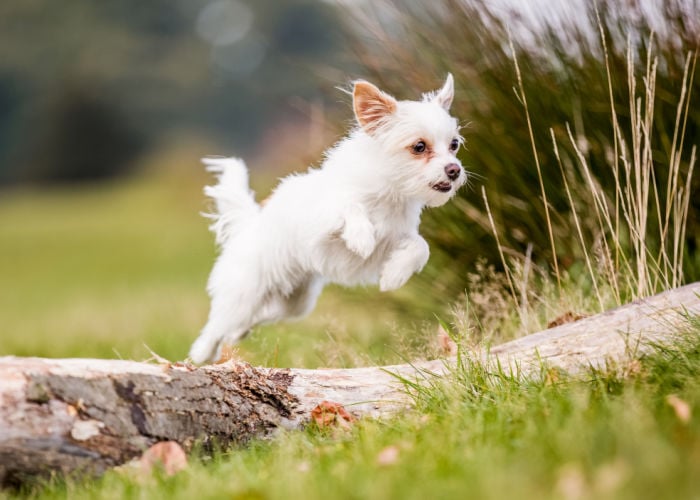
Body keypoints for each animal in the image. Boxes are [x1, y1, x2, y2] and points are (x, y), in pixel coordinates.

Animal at [189, 74, 468, 364]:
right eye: (419, 147)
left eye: (454, 145)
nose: (454, 170)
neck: (390, 194)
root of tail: (249, 225)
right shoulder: (320, 222)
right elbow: (348, 206)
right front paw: (361, 237)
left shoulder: (394, 240)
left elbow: (420, 246)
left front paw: (394, 275)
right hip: (244, 292)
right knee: (217, 325)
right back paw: (202, 353)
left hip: (295, 303)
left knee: (255, 319)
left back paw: (238, 334)